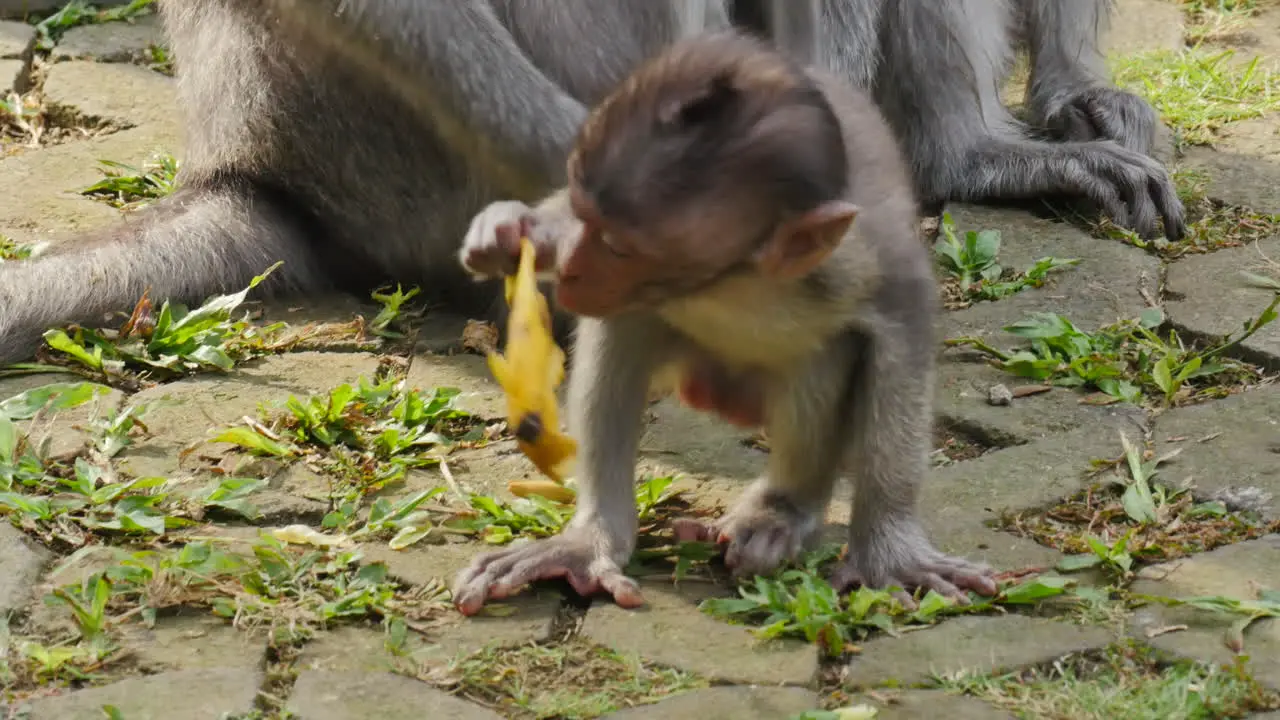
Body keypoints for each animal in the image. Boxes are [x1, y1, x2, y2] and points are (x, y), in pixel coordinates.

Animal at [450, 28, 998, 609]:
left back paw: (783, 509)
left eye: (618, 247)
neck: (735, 279)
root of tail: (725, 393)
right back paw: (594, 537)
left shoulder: (862, 257)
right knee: (625, 322)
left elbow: (903, 331)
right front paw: (510, 230)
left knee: (825, 355)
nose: (574, 268)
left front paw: (890, 549)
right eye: (583, 215)